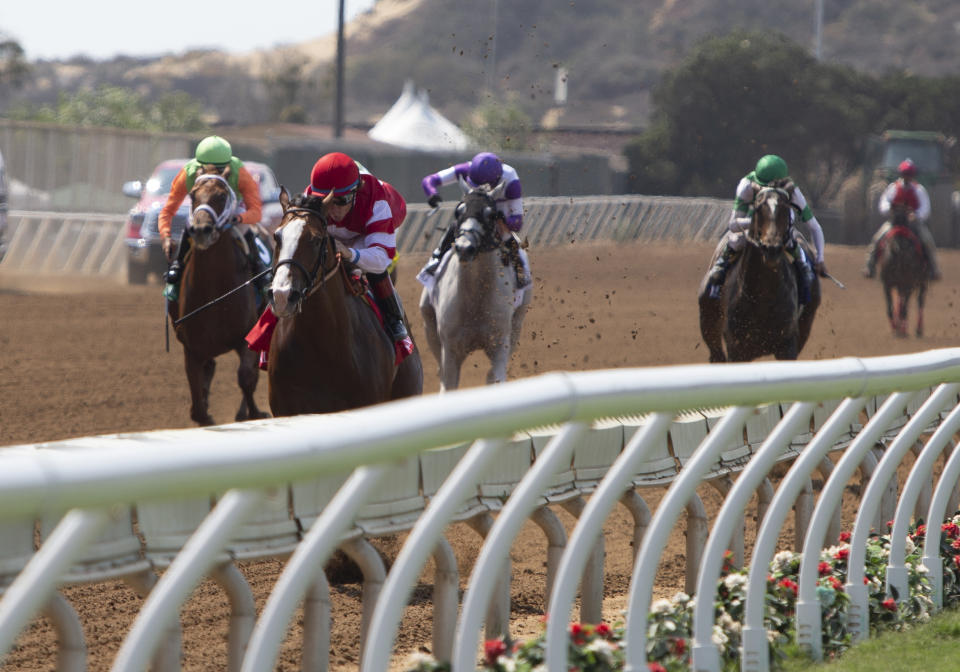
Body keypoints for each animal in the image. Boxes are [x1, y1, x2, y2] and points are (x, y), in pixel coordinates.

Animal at [168, 165, 270, 422]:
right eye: (193, 195)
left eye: (222, 196)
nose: (201, 230)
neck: (214, 295)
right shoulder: (192, 349)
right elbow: (198, 408)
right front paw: (204, 410)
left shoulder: (247, 337)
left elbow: (247, 377)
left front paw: (254, 413)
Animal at [416, 186, 532, 392]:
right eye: (458, 211)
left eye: (491, 214)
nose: (464, 248)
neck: (475, 300)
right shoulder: (451, 349)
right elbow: (448, 384)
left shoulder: (499, 344)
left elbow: (495, 377)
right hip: (428, 321)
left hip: (518, 321)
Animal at [700, 184, 820, 362]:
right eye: (758, 208)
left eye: (786, 208)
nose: (771, 248)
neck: (764, 296)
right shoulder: (737, 347)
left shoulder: (787, 344)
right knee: (716, 355)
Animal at [876, 206, 928, 336]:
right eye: (893, 220)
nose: (897, 248)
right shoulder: (887, 284)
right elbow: (890, 308)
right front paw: (895, 327)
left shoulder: (908, 283)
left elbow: (904, 307)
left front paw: (901, 328)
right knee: (903, 302)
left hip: (921, 282)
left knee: (918, 301)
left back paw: (917, 329)